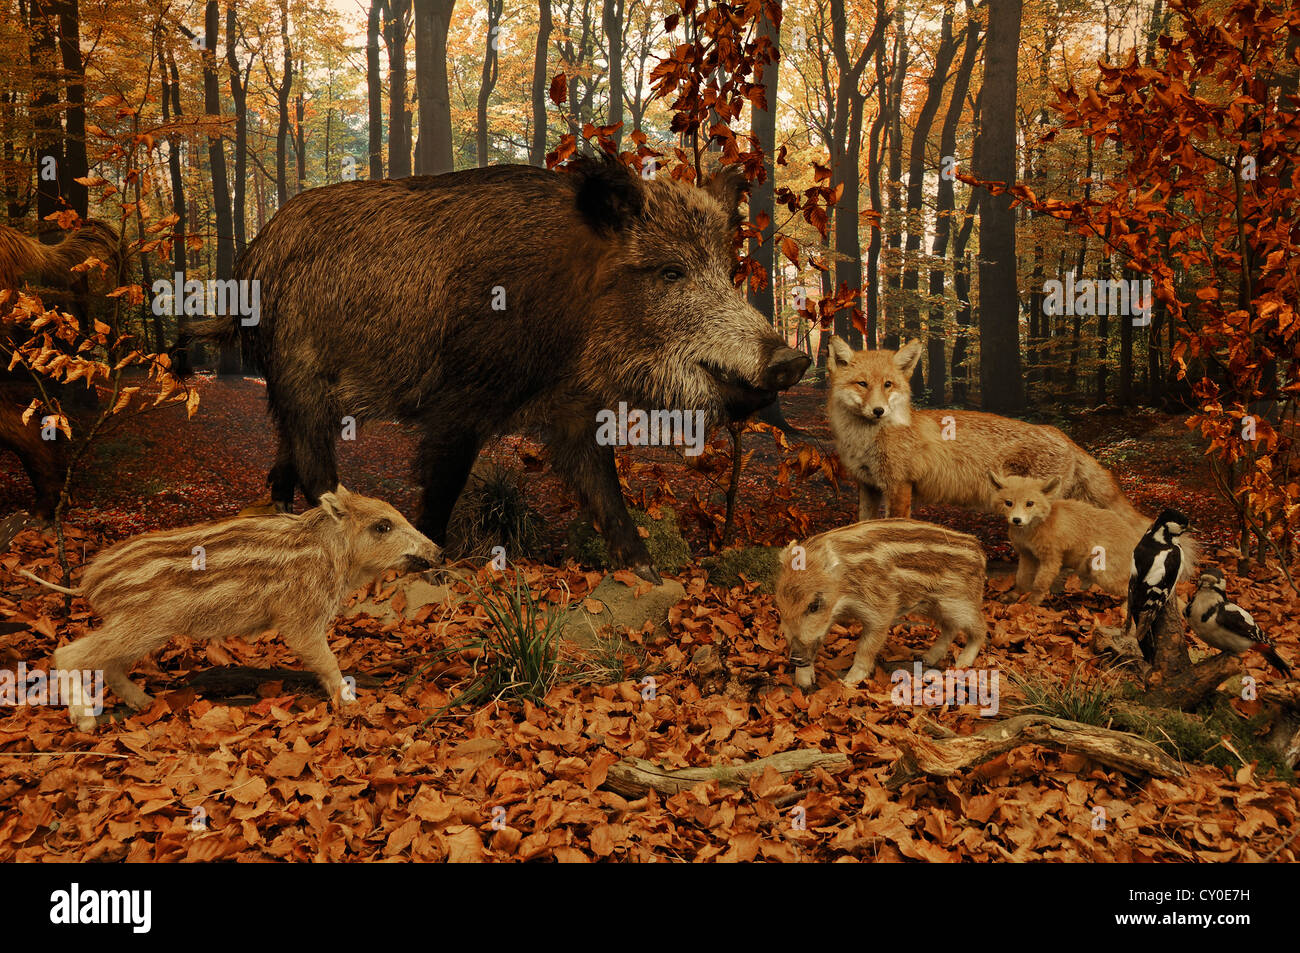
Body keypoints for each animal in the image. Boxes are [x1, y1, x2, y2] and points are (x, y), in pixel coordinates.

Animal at [827, 337, 1135, 521]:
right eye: (862, 384)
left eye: (888, 385)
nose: (879, 411)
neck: (865, 440)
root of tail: (1058, 433)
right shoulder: (868, 485)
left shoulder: (900, 486)